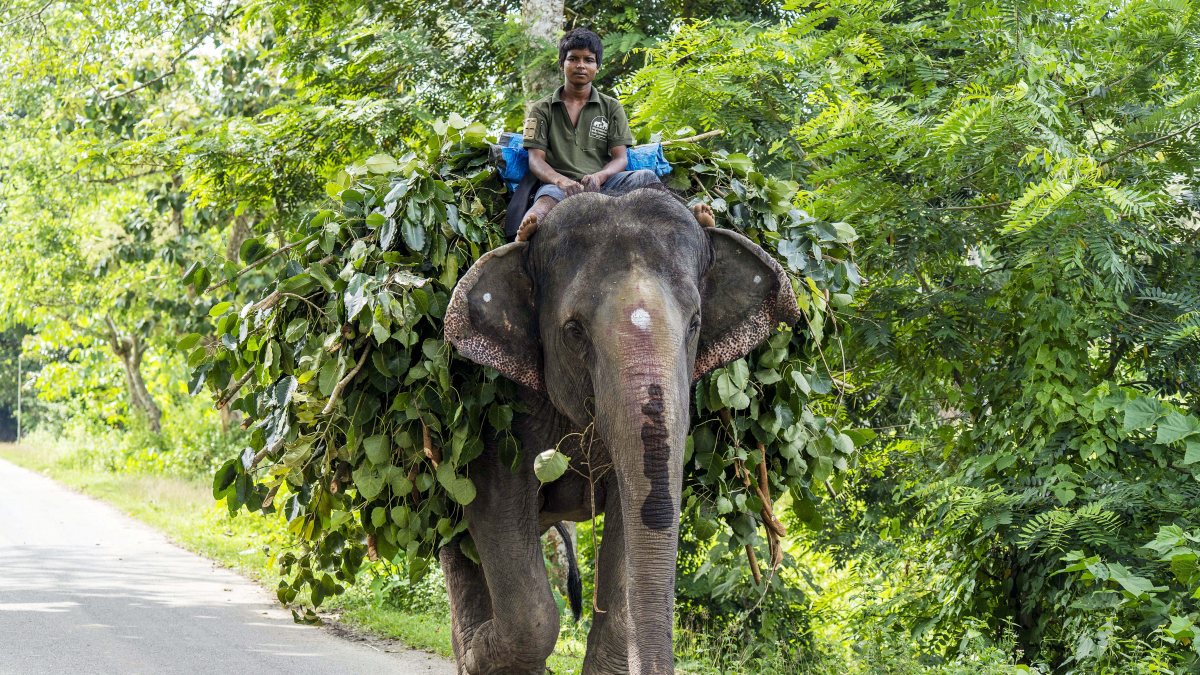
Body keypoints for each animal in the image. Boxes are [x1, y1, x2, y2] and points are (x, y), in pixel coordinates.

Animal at [441, 184, 800, 674]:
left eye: (695, 323)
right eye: (574, 330)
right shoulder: (498, 414)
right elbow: (492, 505)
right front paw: (481, 657)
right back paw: (470, 647)